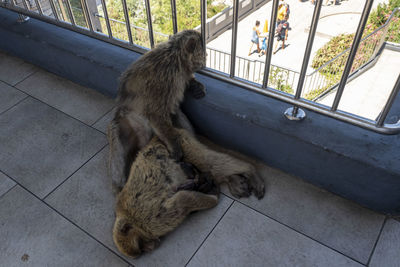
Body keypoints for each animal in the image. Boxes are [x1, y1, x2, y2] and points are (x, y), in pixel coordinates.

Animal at [107, 29, 206, 195]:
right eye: (203, 51)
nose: (206, 58)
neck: (176, 58)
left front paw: (196, 86)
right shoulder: (164, 79)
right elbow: (155, 114)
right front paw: (175, 147)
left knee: (178, 117)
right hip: (124, 124)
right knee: (118, 150)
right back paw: (120, 186)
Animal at [111, 129, 266, 258]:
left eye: (140, 245)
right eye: (142, 250)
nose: (151, 247)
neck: (131, 221)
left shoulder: (150, 219)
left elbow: (183, 199)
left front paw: (213, 196)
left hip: (182, 144)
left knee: (208, 162)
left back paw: (250, 171)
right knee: (207, 168)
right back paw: (232, 180)